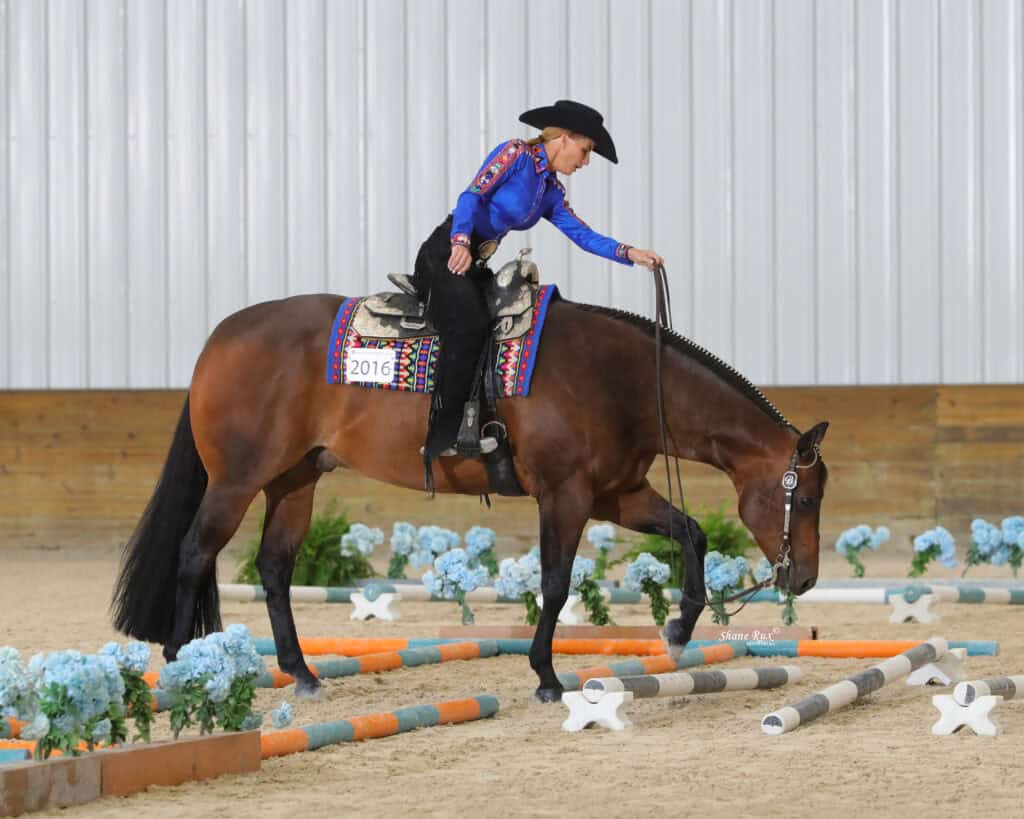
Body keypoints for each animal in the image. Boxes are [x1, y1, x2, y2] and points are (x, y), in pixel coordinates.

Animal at [111, 291, 829, 702]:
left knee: (273, 567)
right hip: (235, 482)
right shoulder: (566, 496)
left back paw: (304, 673)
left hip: (295, 480)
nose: (803, 578)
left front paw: (678, 628)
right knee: (193, 553)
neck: (619, 378)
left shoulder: (617, 493)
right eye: (806, 497)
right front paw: (546, 676)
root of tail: (219, 338)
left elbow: (692, 533)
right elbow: (556, 582)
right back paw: (180, 665)